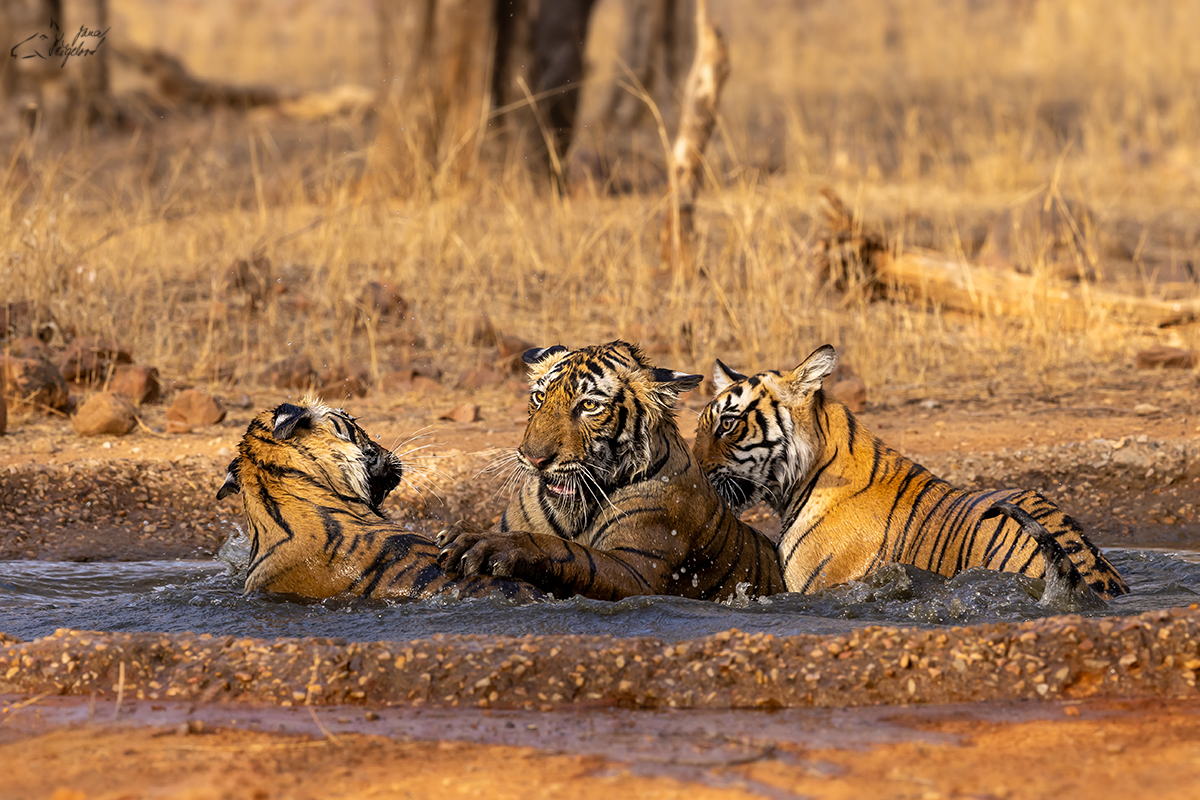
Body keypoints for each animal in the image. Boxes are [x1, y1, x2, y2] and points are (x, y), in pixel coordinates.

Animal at [434, 340, 787, 604]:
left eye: (589, 406)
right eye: (539, 397)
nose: (535, 459)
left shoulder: (637, 570)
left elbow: (566, 550)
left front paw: (485, 544)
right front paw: (459, 531)